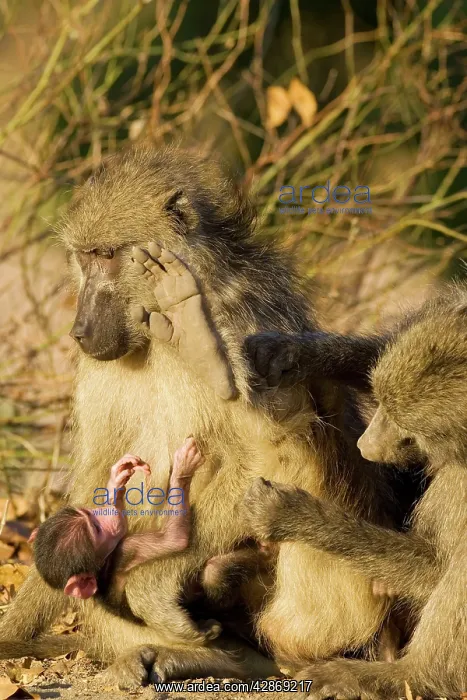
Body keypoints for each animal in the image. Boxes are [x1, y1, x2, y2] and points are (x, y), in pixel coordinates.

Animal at [0, 145, 406, 686]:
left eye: (107, 255)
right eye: (84, 257)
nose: (80, 330)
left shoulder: (245, 323)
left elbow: (264, 461)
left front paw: (150, 587)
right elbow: (93, 483)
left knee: (298, 441)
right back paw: (204, 658)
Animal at [242, 285, 467, 699]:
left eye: (412, 432)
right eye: (382, 402)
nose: (366, 447)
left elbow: (435, 571)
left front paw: (295, 515)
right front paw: (293, 352)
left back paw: (400, 676)